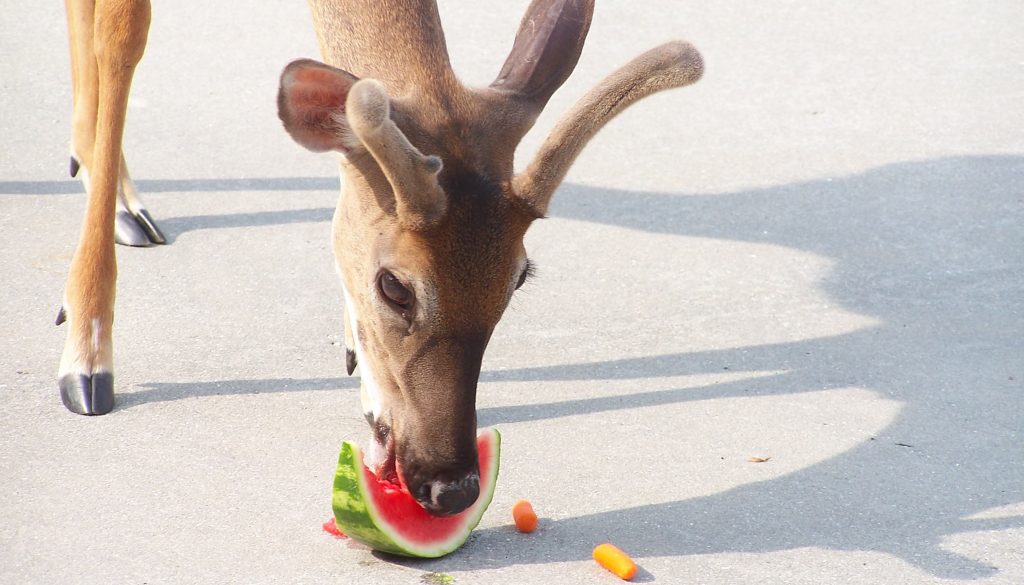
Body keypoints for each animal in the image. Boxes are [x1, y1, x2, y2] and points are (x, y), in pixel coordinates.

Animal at [58, 0, 703, 516]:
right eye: (395, 286)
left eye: (519, 278)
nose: (453, 486)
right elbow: (122, 34)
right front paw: (86, 356)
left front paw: (358, 364)